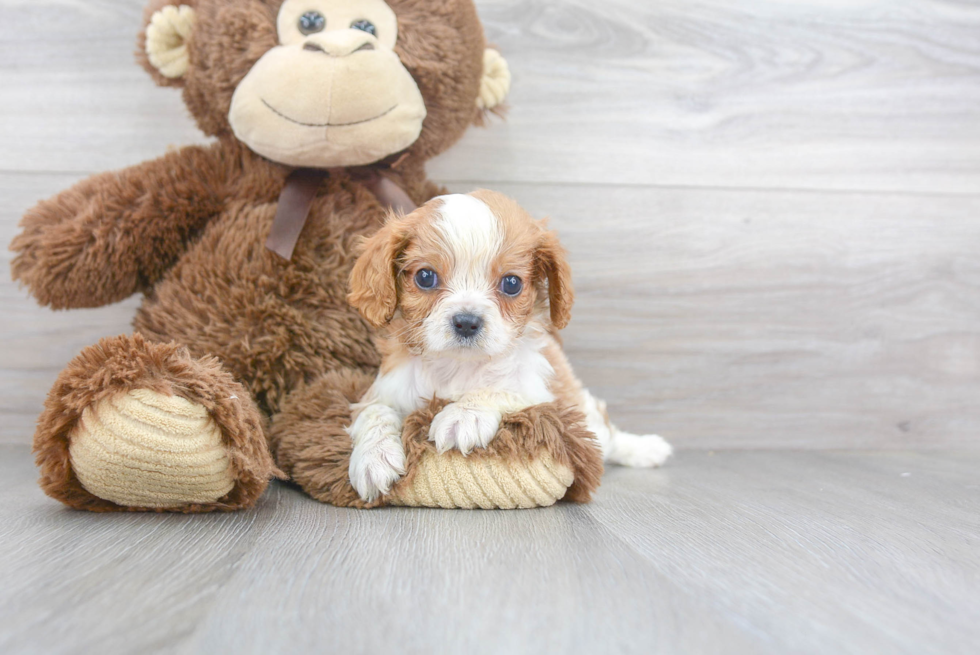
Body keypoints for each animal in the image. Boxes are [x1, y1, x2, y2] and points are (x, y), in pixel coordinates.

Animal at [344, 190, 672, 502]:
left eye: (512, 283)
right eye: (426, 277)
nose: (466, 321)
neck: (457, 366)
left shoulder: (538, 390)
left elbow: (504, 388)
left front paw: (465, 414)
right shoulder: (384, 392)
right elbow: (374, 413)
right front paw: (374, 458)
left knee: (608, 435)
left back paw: (645, 449)